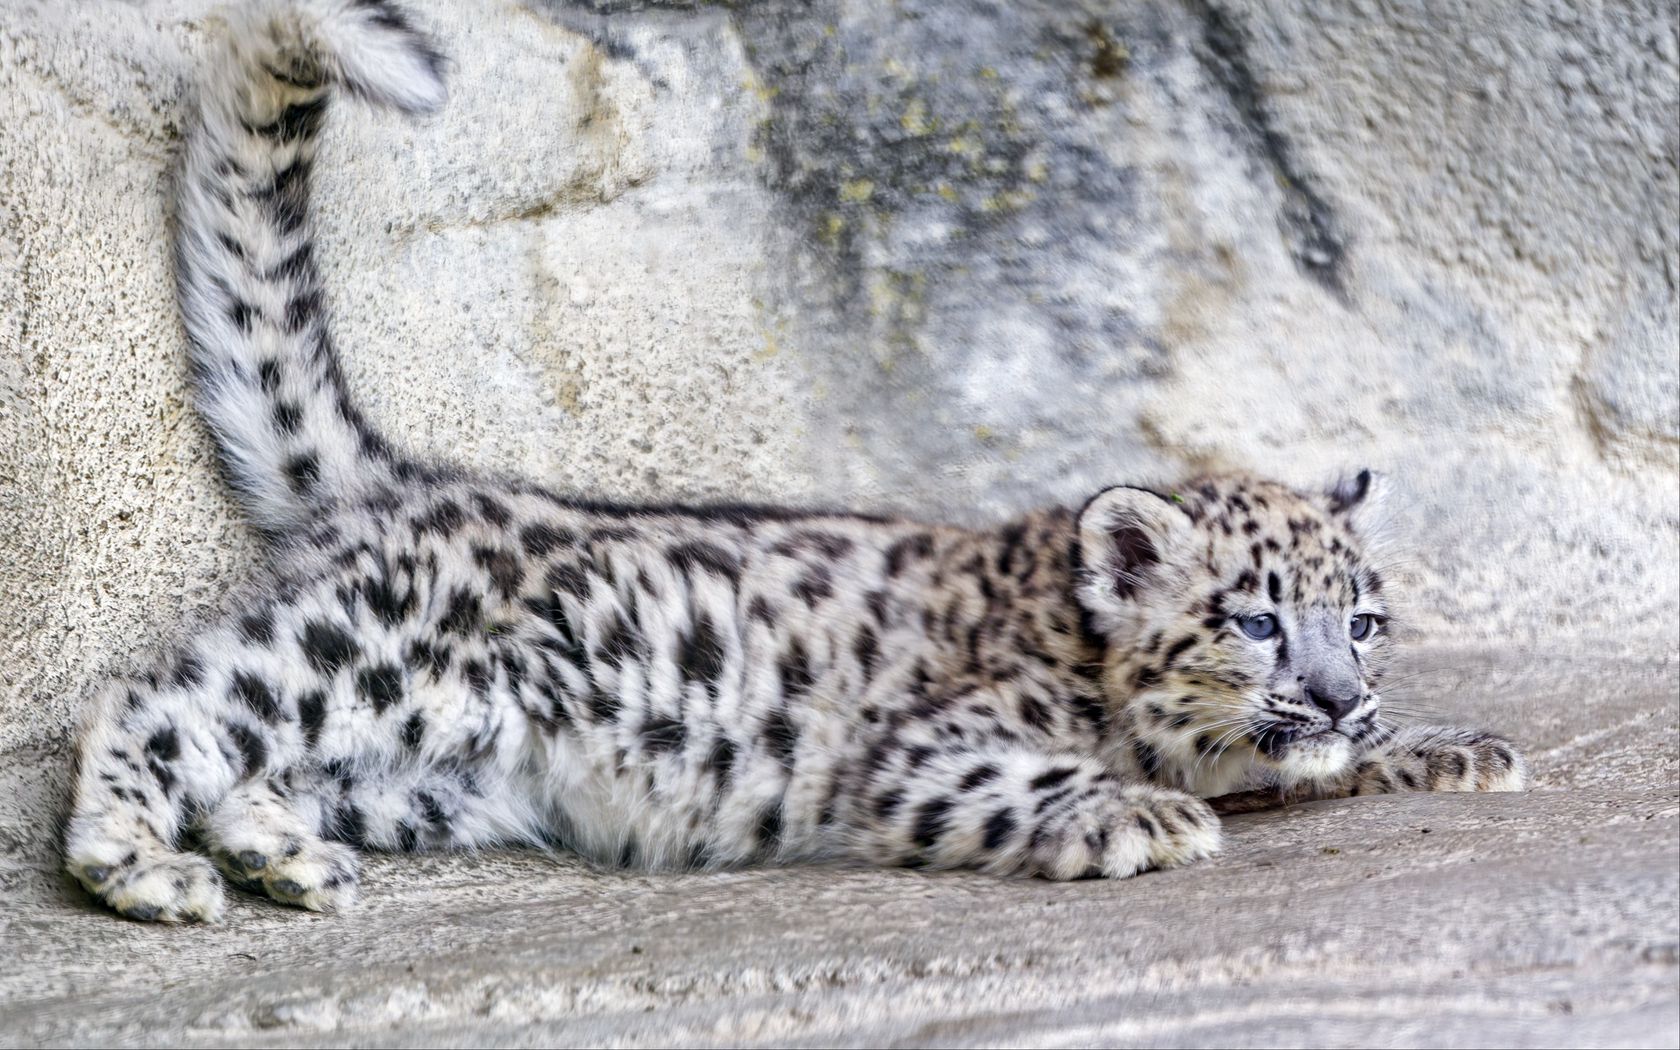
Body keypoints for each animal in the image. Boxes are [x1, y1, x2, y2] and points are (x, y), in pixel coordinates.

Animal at [63, 0, 1525, 923]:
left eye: (1365, 621)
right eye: (1256, 619)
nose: (1338, 694)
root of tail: (412, 482)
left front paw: (1449, 744)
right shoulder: (935, 751)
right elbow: (1044, 776)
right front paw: (1142, 813)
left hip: (436, 779)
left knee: (261, 767)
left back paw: (283, 853)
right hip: (352, 657)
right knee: (154, 707)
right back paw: (147, 868)